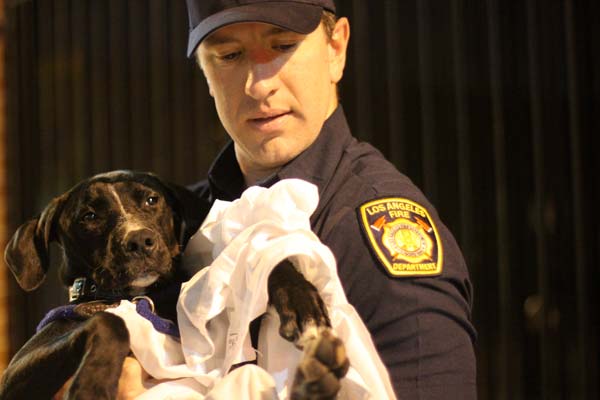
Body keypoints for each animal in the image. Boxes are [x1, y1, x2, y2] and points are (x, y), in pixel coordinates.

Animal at [1, 171, 346, 400]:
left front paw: (301, 302)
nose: (139, 241)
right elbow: (109, 321)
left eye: (152, 200)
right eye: (89, 216)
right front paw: (92, 384)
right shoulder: (14, 375)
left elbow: (266, 264)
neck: (140, 299)